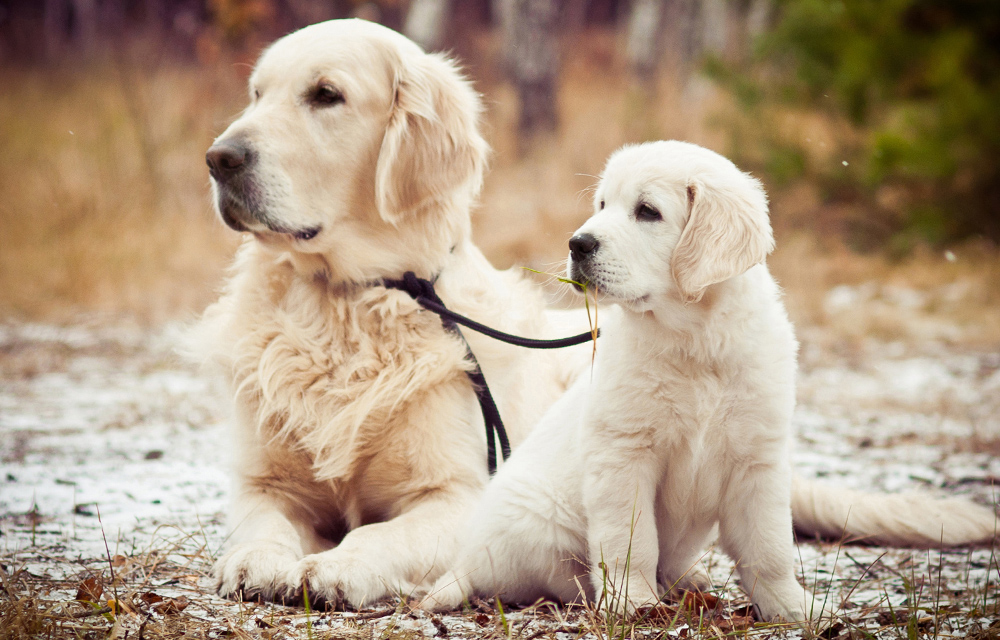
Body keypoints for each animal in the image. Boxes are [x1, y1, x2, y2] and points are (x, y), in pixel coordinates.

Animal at [191, 18, 584, 608]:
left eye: (325, 94)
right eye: (257, 94)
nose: (220, 158)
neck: (345, 304)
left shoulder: (457, 495)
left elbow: (378, 533)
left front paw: (336, 568)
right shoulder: (265, 483)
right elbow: (266, 524)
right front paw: (257, 561)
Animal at [424, 140, 1000, 620]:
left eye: (647, 211)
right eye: (603, 204)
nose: (577, 243)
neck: (695, 340)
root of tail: (467, 560)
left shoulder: (759, 459)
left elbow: (769, 547)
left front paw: (794, 609)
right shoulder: (624, 454)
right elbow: (629, 542)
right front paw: (632, 603)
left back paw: (690, 583)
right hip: (537, 525)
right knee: (563, 575)